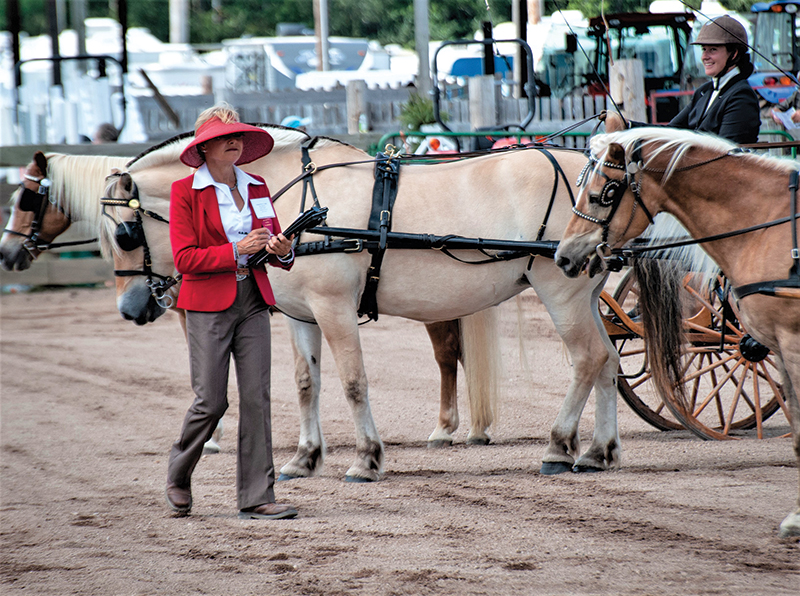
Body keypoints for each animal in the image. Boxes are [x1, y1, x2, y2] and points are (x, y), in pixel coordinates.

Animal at [97, 126, 622, 483]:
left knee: (587, 358)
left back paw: (559, 447)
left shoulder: (334, 308)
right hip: (586, 297)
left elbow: (353, 382)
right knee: (610, 362)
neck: (297, 204)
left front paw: (367, 457)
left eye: (125, 235)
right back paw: (600, 451)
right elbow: (307, 383)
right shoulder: (302, 315)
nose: (129, 308)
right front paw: (305, 458)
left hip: (562, 292)